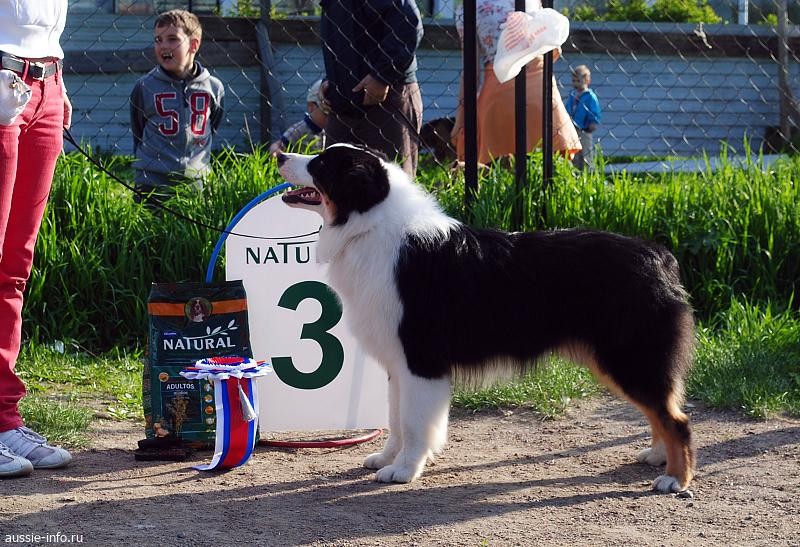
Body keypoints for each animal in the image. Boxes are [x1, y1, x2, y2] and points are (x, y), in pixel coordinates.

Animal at [277, 144, 696, 494]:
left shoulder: (420, 360)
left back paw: (675, 478)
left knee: (676, 419)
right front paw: (386, 458)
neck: (370, 226)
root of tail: (659, 257)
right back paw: (658, 457)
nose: (279, 154)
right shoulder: (398, 362)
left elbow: (414, 422)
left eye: (321, 163)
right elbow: (396, 418)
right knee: (662, 411)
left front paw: (405, 469)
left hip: (630, 357)